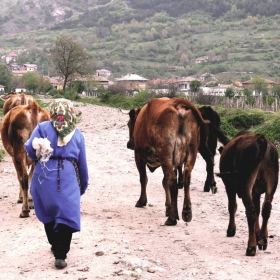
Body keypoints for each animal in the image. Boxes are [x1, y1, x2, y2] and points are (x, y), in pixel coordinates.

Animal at [126, 97, 222, 226]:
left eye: (128, 124)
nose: (129, 144)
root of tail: (178, 104)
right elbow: (164, 182)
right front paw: (169, 207)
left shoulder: (139, 155)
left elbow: (144, 179)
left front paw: (142, 201)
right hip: (192, 150)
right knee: (188, 177)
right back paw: (187, 210)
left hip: (166, 152)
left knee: (172, 180)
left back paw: (172, 218)